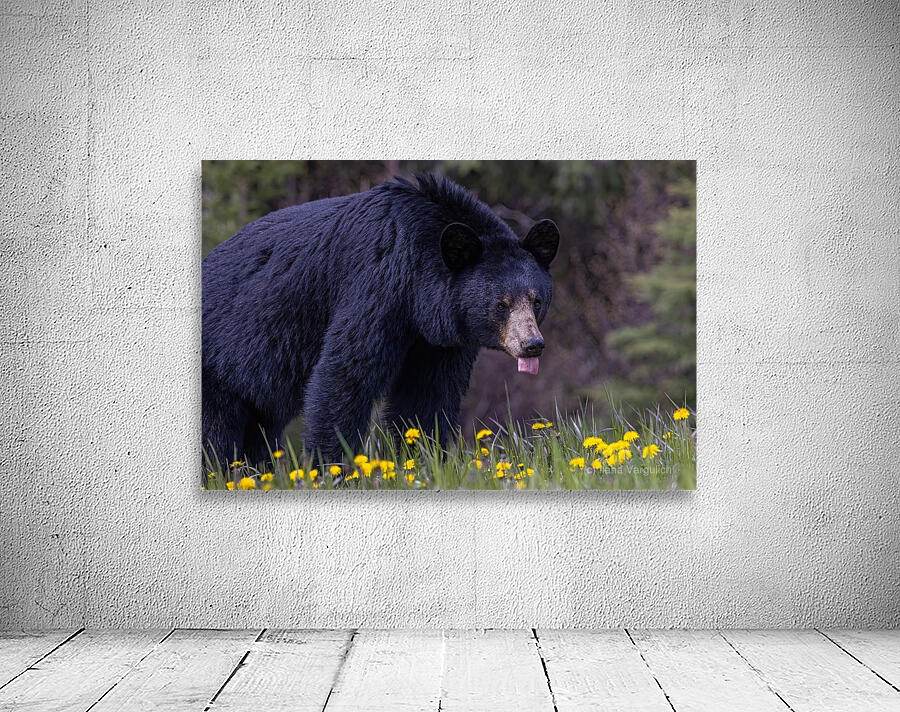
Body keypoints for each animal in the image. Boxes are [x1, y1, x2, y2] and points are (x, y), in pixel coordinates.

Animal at [201, 173, 560, 463]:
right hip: (219, 363)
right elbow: (345, 374)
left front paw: (423, 457)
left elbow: (428, 395)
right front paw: (332, 467)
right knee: (215, 434)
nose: (532, 344)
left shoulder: (438, 338)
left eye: (536, 300)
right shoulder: (376, 284)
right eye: (501, 304)